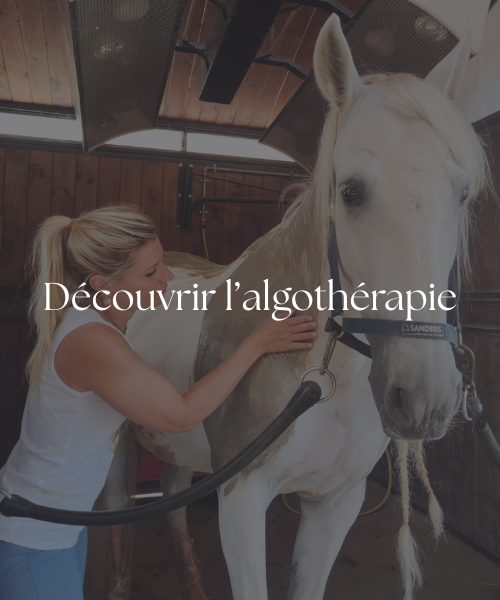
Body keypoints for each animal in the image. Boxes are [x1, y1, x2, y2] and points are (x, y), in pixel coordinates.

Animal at [88, 14, 489, 600]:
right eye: (350, 192)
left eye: (461, 193)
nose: (425, 399)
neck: (323, 381)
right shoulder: (240, 499)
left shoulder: (336, 503)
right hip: (119, 439)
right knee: (119, 504)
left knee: (173, 491)